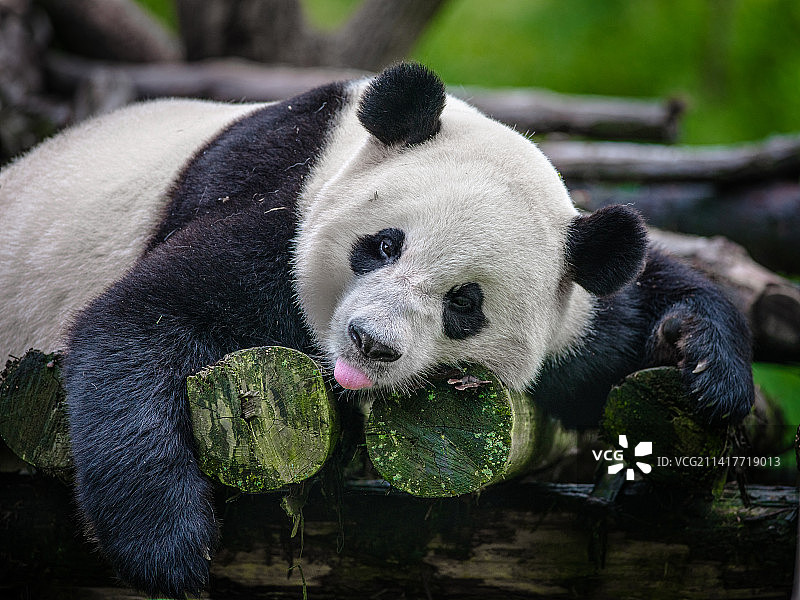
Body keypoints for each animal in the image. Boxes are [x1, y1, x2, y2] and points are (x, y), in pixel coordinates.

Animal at [0, 63, 752, 596]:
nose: (371, 342)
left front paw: (701, 362)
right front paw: (168, 548)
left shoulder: (576, 311)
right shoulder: (278, 206)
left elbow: (628, 310)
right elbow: (148, 318)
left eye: (465, 304)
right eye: (385, 244)